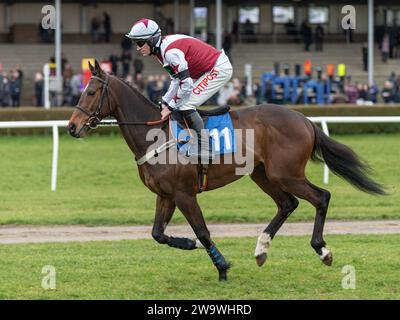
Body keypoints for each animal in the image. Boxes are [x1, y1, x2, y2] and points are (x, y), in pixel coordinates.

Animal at [68, 60, 384, 280]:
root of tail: (305, 120)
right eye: (82, 91)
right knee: (287, 204)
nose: (72, 127)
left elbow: (203, 231)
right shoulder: (165, 195)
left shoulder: (184, 194)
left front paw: (221, 267)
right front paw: (188, 244)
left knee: (321, 197)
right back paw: (261, 250)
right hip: (262, 173)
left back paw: (322, 250)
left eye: (92, 91)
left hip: (287, 174)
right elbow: (158, 234)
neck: (155, 135)